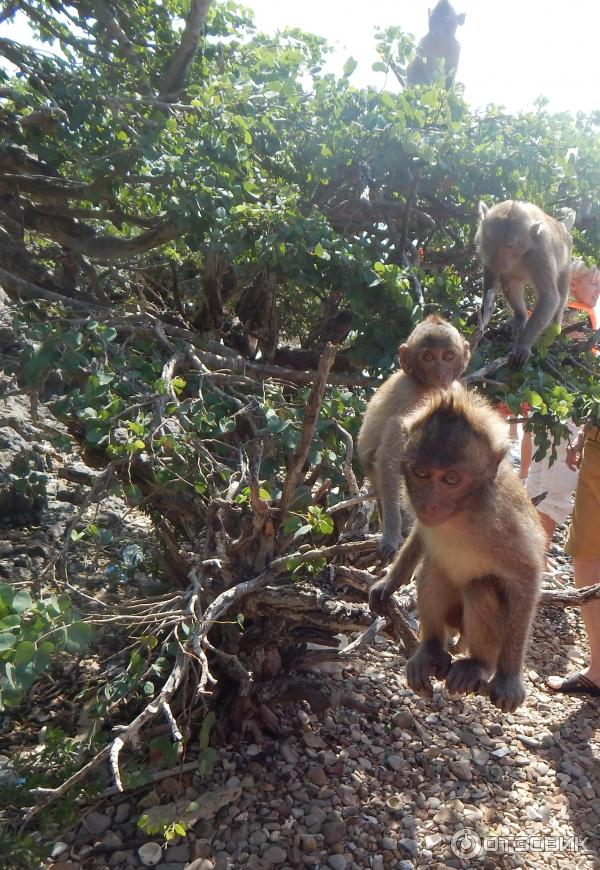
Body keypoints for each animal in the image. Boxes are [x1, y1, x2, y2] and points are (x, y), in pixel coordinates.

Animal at [358, 316, 472, 564]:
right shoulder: (409, 394)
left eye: (448, 356)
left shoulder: (454, 389)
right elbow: (391, 449)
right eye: (428, 357)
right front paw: (391, 535)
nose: (440, 374)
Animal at [368, 388, 548, 716]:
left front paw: (509, 678)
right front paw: (389, 583)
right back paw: (431, 649)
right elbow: (422, 536)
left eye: (451, 479)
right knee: (434, 569)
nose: (429, 504)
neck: (464, 510)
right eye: (421, 473)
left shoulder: (504, 522)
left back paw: (478, 665)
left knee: (481, 589)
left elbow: (526, 577)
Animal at [478, 200, 572, 368]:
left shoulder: (540, 253)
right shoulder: (485, 247)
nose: (498, 260)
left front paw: (522, 345)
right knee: (510, 282)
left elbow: (549, 297)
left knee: (561, 294)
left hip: (566, 261)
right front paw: (483, 313)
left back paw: (555, 326)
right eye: (492, 241)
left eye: (509, 245)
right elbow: (491, 276)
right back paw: (520, 318)